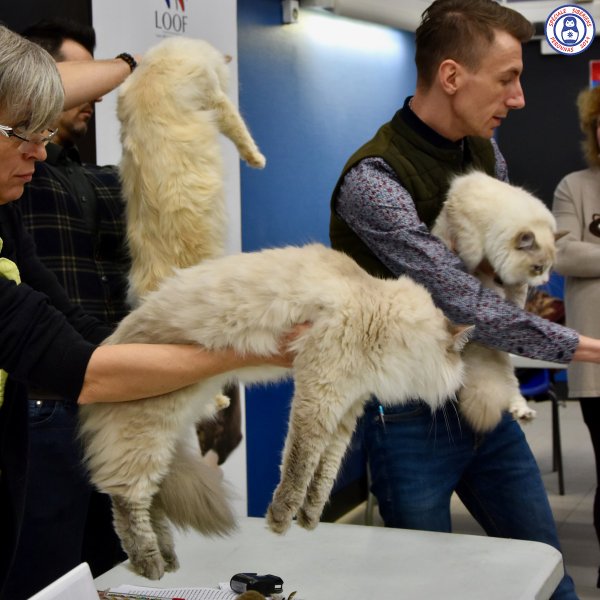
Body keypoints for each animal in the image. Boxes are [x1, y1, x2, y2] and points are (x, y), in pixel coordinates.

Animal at [78, 243, 472, 580]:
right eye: (459, 361)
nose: (460, 385)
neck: (379, 314)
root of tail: (108, 343)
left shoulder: (345, 410)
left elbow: (324, 471)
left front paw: (310, 517)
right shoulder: (319, 394)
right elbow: (300, 464)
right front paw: (281, 519)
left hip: (166, 443)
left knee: (153, 500)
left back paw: (168, 558)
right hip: (148, 436)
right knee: (127, 500)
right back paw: (150, 564)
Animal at [432, 170, 560, 432]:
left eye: (549, 268)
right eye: (538, 267)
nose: (544, 281)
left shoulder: (516, 284)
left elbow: (516, 298)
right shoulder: (468, 238)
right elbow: (467, 257)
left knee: (512, 394)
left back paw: (524, 414)